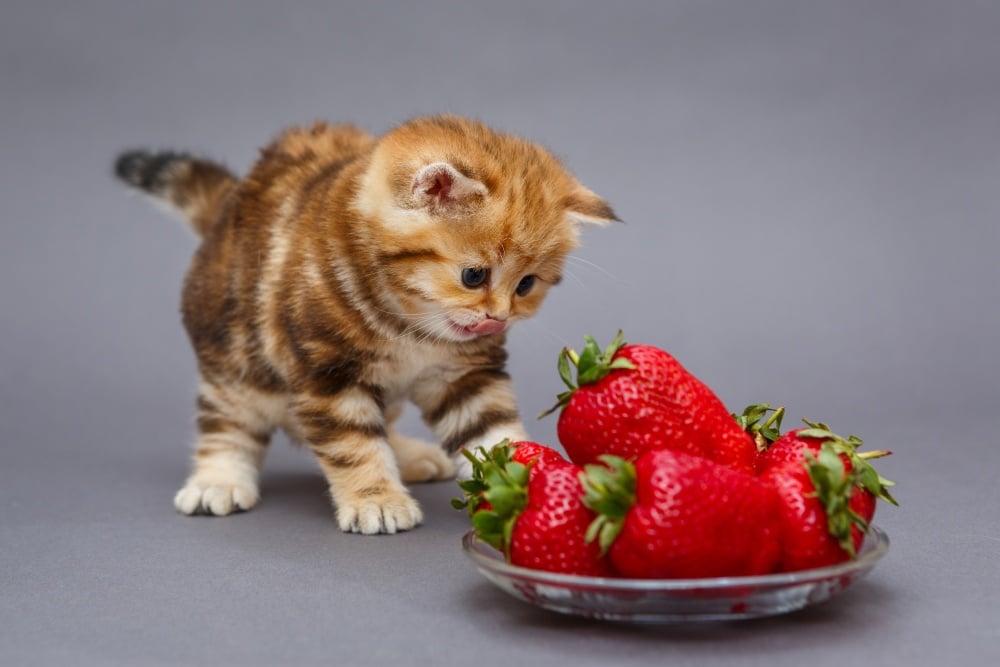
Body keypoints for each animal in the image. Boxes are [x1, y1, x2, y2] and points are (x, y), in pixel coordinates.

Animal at [117, 113, 616, 532]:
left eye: (527, 284)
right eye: (473, 276)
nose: (497, 318)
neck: (409, 325)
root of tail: (229, 205)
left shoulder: (464, 375)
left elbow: (489, 429)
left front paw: (520, 481)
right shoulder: (327, 375)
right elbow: (353, 445)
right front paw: (377, 499)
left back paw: (409, 456)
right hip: (234, 362)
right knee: (225, 424)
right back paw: (217, 480)